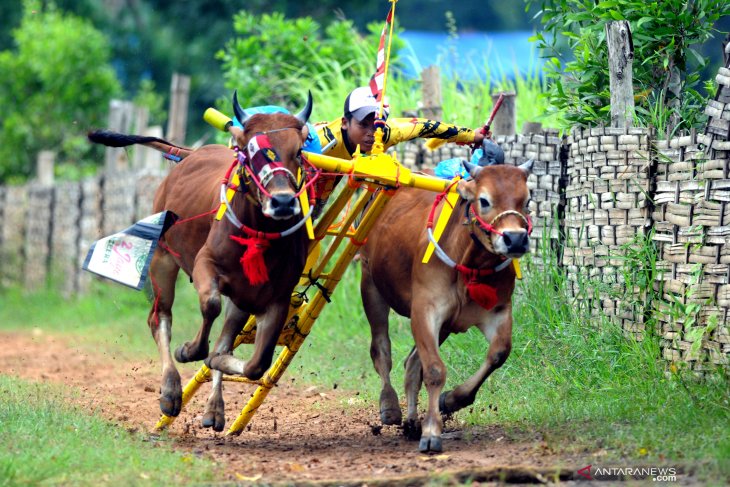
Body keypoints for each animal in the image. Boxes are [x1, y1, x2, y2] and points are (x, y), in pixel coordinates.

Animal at [88, 92, 312, 430]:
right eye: (249, 152)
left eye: (297, 151)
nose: (283, 202)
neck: (259, 234)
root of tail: (191, 155)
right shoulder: (205, 266)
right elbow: (210, 307)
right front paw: (190, 350)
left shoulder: (275, 296)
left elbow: (255, 364)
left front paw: (216, 360)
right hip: (163, 260)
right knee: (159, 318)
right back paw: (170, 390)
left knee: (227, 339)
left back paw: (214, 407)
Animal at [358, 160, 528, 454]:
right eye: (484, 200)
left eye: (527, 200)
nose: (516, 240)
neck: (469, 262)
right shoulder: (425, 310)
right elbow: (435, 370)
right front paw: (431, 433)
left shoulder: (497, 311)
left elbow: (498, 354)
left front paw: (449, 401)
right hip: (371, 285)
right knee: (381, 351)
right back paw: (390, 406)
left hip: (445, 327)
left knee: (412, 363)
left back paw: (412, 423)